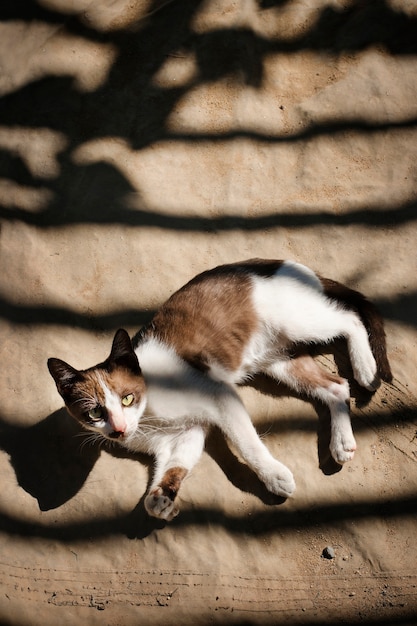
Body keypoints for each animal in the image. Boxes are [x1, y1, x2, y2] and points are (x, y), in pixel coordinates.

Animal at [47, 256, 392, 520]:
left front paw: (274, 475)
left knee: (349, 318)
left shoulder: (221, 397)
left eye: (127, 398)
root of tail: (283, 263)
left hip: (298, 323)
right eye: (94, 413)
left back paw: (365, 367)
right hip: (279, 359)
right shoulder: (185, 436)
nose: (118, 430)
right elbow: (174, 468)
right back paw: (342, 442)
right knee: (336, 386)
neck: (149, 417)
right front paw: (161, 499)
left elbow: (246, 443)